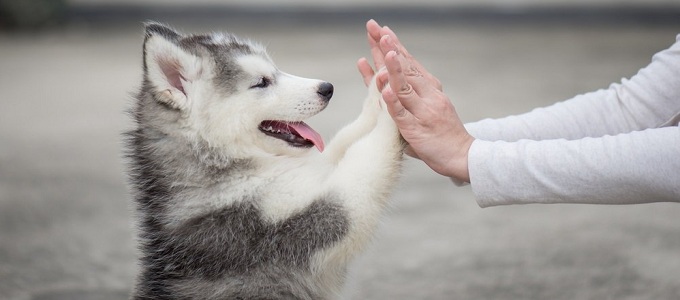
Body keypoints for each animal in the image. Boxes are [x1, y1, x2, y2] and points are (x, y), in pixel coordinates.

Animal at [126, 23, 404, 300]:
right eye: (261, 82)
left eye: (275, 69)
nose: (327, 88)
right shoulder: (296, 224)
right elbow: (365, 158)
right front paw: (394, 108)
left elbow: (344, 140)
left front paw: (380, 89)